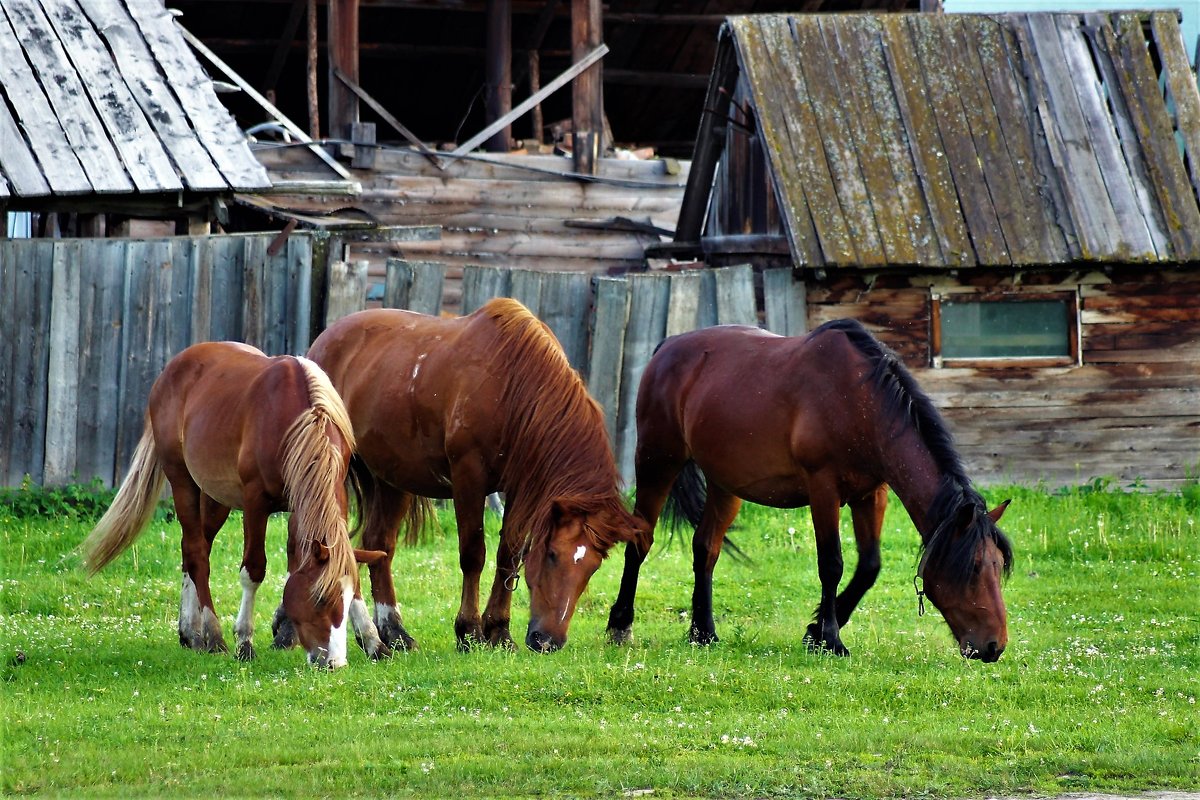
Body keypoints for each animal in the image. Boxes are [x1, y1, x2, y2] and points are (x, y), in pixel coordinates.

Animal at [83, 345, 384, 671]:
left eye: (345, 598)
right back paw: (212, 636)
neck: (293, 420)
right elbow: (253, 570)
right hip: (182, 481)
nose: (334, 662)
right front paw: (244, 641)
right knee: (197, 554)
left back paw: (190, 632)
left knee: (192, 550)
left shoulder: (317, 501)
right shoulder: (255, 503)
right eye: (320, 599)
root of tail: (173, 368)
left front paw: (373, 641)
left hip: (215, 498)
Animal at [304, 297, 652, 652]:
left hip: (392, 479)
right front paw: (469, 630)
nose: (548, 641)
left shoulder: (518, 488)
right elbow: (474, 554)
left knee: (379, 545)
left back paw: (394, 632)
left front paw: (499, 630)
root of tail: (323, 342)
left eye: (593, 567)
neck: (513, 387)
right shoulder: (468, 478)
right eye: (553, 555)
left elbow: (509, 553)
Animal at [609, 319, 1012, 662]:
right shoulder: (823, 488)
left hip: (725, 484)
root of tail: (667, 348)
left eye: (998, 566)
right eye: (973, 569)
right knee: (641, 540)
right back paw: (620, 625)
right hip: (657, 461)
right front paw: (830, 639)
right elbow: (831, 563)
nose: (994, 646)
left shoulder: (871, 494)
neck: (861, 401)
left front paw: (815, 630)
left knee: (706, 548)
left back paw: (702, 632)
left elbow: (869, 566)